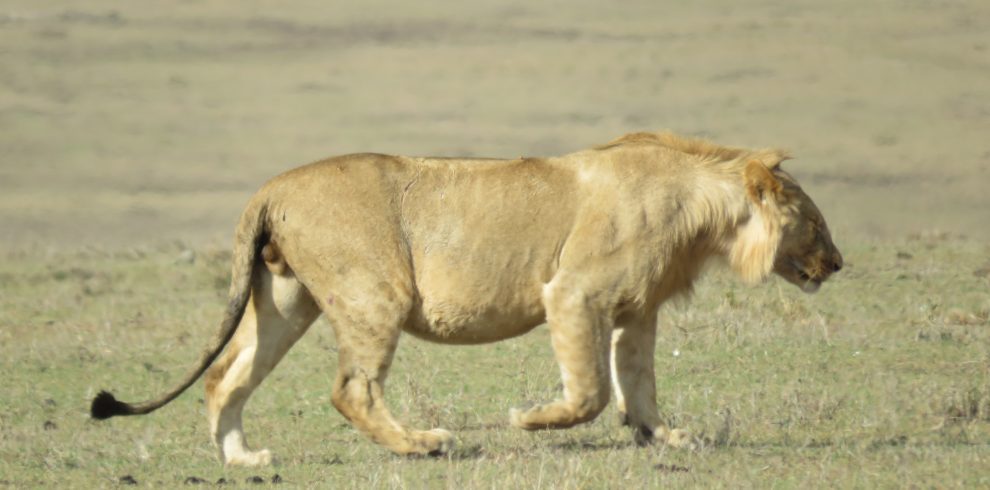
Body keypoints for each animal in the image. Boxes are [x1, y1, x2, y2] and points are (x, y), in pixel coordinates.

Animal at [89, 131, 840, 468]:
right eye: (814, 219)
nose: (837, 262)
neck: (703, 212)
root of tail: (269, 186)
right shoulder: (573, 293)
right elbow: (591, 391)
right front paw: (529, 420)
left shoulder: (636, 310)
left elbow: (640, 384)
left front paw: (666, 436)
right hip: (376, 290)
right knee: (351, 389)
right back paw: (423, 443)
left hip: (285, 300)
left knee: (225, 376)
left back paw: (243, 460)